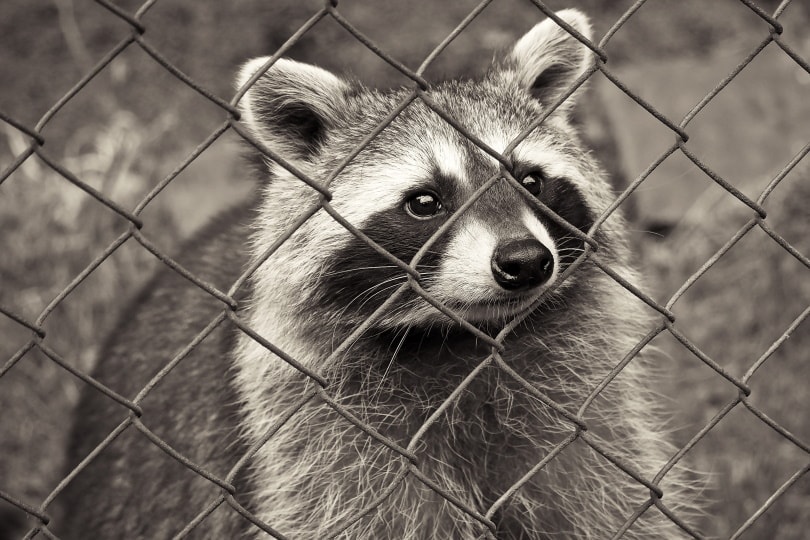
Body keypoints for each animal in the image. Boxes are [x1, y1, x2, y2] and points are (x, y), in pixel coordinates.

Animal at [58, 9, 695, 540]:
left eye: (531, 181)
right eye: (425, 202)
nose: (525, 262)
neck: (462, 340)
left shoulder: (582, 412)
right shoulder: (322, 447)